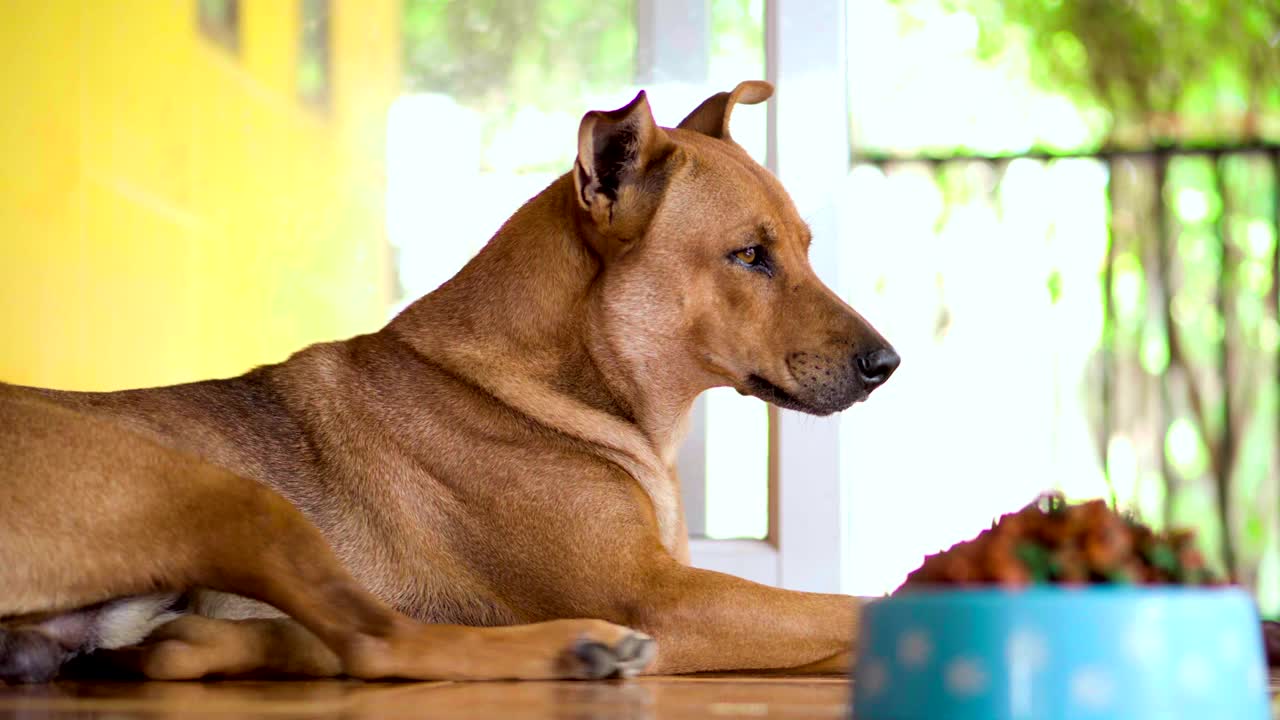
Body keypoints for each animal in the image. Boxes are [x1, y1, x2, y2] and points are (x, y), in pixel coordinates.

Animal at [0, 81, 901, 681]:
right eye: (749, 255)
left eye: (805, 246)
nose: (888, 365)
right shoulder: (661, 597)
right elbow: (849, 606)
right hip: (229, 495)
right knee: (378, 646)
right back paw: (575, 647)